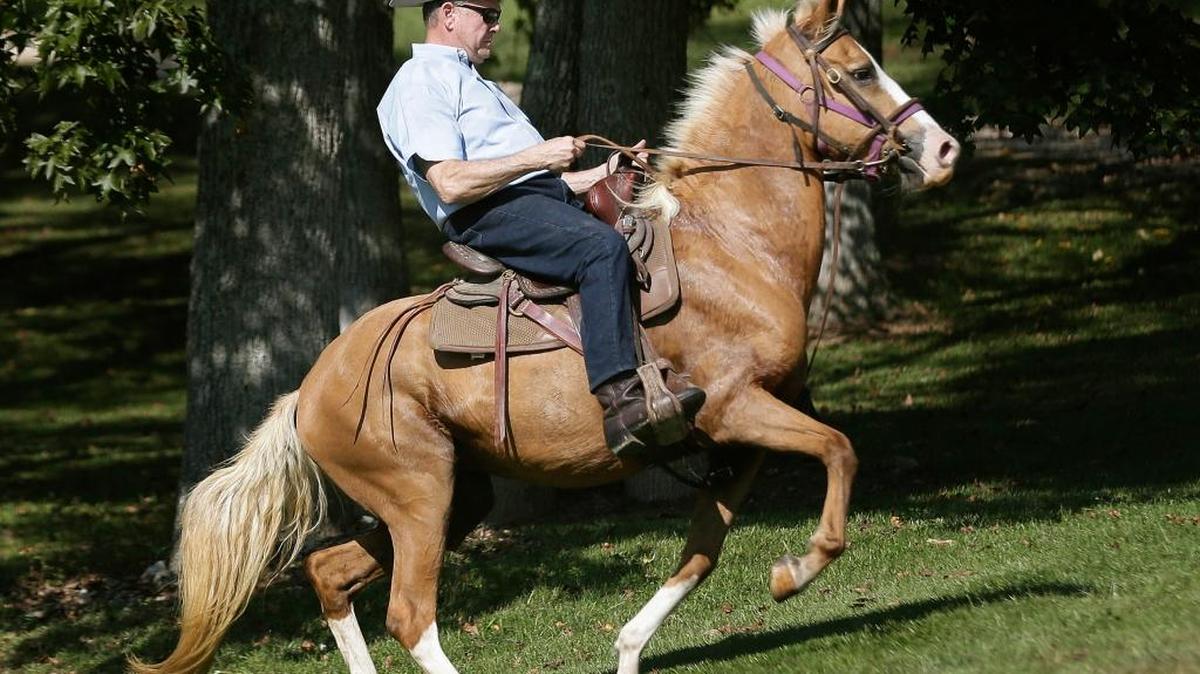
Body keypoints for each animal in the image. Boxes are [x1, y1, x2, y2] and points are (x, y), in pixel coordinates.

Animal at [130, 2, 960, 673]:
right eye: (860, 69)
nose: (945, 149)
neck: (733, 247)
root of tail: (308, 390)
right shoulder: (737, 409)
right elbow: (839, 451)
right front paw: (801, 568)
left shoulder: (737, 442)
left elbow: (702, 552)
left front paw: (634, 646)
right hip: (419, 500)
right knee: (410, 616)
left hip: (449, 498)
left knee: (330, 575)